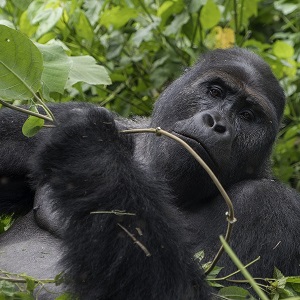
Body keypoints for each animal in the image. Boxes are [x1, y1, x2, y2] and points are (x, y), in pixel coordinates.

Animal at [0, 48, 300, 298]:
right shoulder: (46, 122)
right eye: (215, 92)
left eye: (248, 115)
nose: (217, 123)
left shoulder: (270, 205)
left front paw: (90, 147)